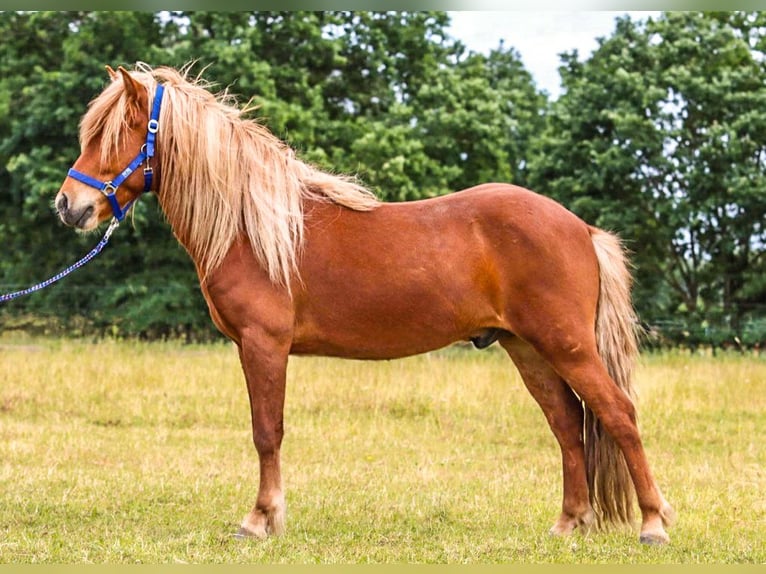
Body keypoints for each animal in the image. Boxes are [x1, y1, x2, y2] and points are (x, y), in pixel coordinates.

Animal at [54, 65, 676, 548]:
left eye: (119, 132)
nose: (69, 205)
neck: (254, 228)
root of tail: (581, 229)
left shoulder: (263, 345)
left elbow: (266, 431)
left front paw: (260, 520)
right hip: (528, 349)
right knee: (569, 427)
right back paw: (569, 524)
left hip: (566, 345)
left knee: (618, 415)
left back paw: (652, 524)